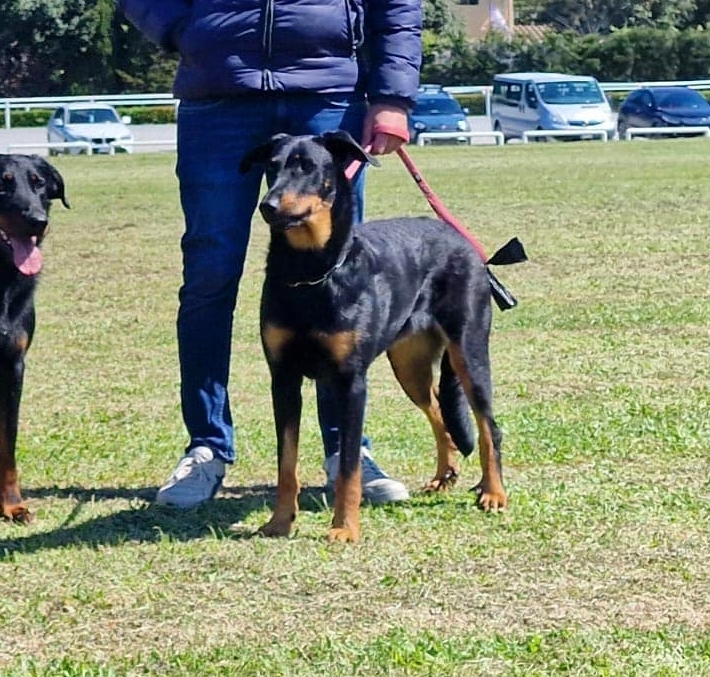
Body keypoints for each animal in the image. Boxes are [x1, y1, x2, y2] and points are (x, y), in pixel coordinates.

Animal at [242, 132, 516, 544]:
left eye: (308, 167)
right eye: (271, 168)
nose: (268, 206)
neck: (312, 271)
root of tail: (461, 240)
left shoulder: (351, 382)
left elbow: (349, 466)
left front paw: (344, 527)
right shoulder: (284, 379)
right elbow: (286, 462)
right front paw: (279, 521)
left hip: (469, 352)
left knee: (488, 428)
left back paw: (494, 492)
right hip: (409, 366)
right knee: (439, 412)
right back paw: (444, 476)